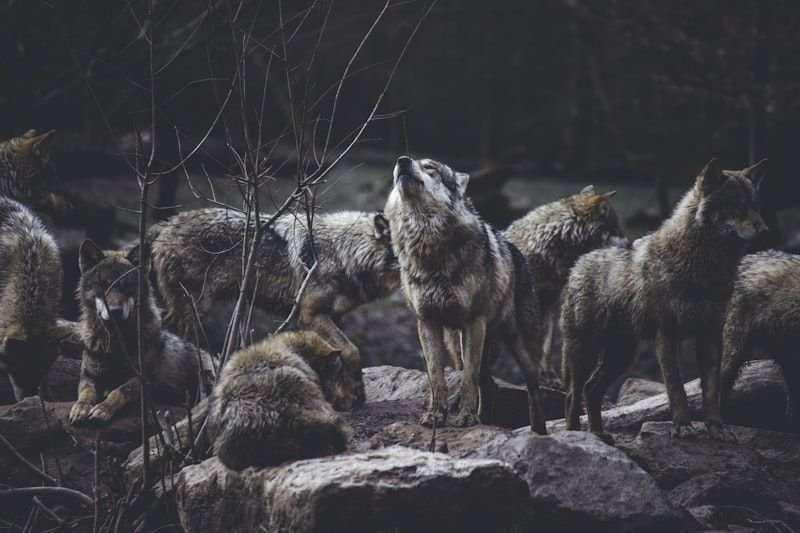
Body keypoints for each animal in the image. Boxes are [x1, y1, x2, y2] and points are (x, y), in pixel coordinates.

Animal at [69, 240, 216, 425]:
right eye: (103, 285)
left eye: (127, 286)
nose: (115, 311)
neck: (117, 343)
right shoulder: (89, 377)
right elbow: (86, 393)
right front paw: (80, 408)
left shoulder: (143, 380)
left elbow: (118, 391)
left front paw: (103, 409)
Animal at [150, 208, 399, 408]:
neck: (344, 253)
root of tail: (166, 224)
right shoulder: (310, 314)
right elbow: (352, 350)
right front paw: (357, 394)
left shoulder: (334, 316)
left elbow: (338, 358)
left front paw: (345, 397)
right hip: (194, 311)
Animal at [384, 156, 545, 433]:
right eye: (404, 163)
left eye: (430, 167)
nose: (402, 161)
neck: (428, 246)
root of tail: (516, 250)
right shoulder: (427, 322)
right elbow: (436, 378)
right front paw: (436, 416)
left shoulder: (473, 322)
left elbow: (468, 380)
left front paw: (467, 418)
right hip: (458, 346)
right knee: (489, 384)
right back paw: (486, 420)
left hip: (520, 350)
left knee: (533, 391)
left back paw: (538, 432)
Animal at [561, 159, 768, 441]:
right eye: (736, 205)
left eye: (755, 206)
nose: (765, 230)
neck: (704, 267)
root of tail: (579, 262)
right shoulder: (667, 334)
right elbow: (676, 388)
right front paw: (682, 427)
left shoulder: (710, 335)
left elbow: (711, 391)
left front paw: (717, 428)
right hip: (586, 351)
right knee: (573, 394)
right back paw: (576, 435)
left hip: (621, 356)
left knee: (591, 389)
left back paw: (599, 435)